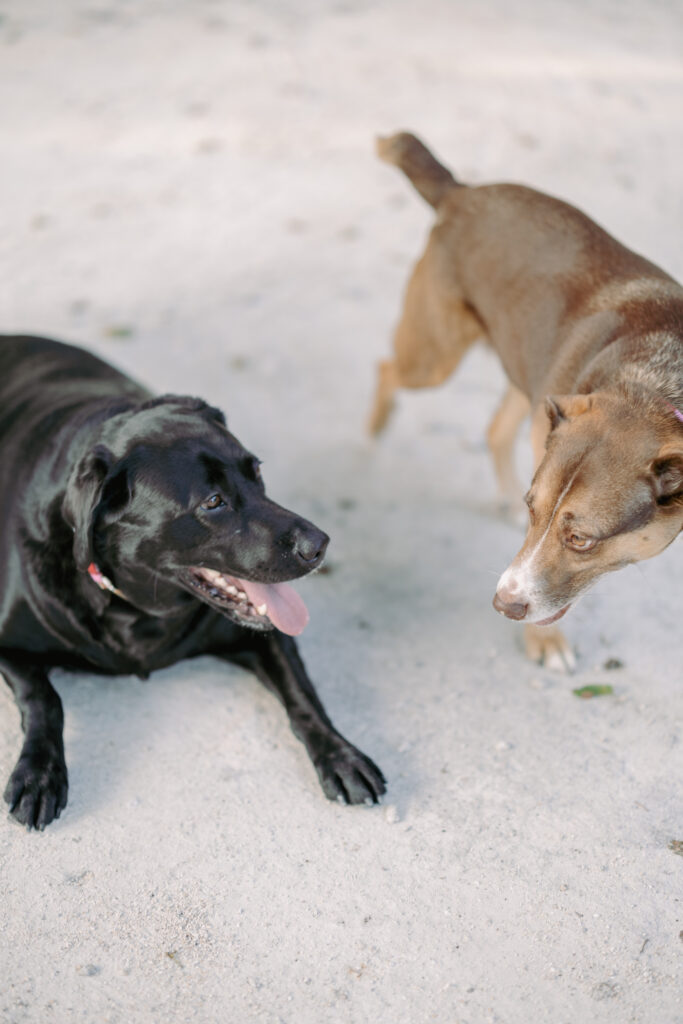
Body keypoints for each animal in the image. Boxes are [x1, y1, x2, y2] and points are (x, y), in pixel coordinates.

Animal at [0, 337, 385, 831]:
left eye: (257, 471)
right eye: (214, 501)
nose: (319, 546)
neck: (137, 612)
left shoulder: (268, 635)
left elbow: (303, 693)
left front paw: (341, 754)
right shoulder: (8, 643)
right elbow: (43, 697)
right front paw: (39, 775)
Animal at [370, 132, 683, 671]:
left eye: (581, 540)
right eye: (533, 510)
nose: (503, 605)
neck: (652, 387)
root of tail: (462, 192)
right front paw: (545, 642)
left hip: (527, 370)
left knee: (496, 429)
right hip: (436, 357)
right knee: (387, 370)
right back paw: (376, 430)